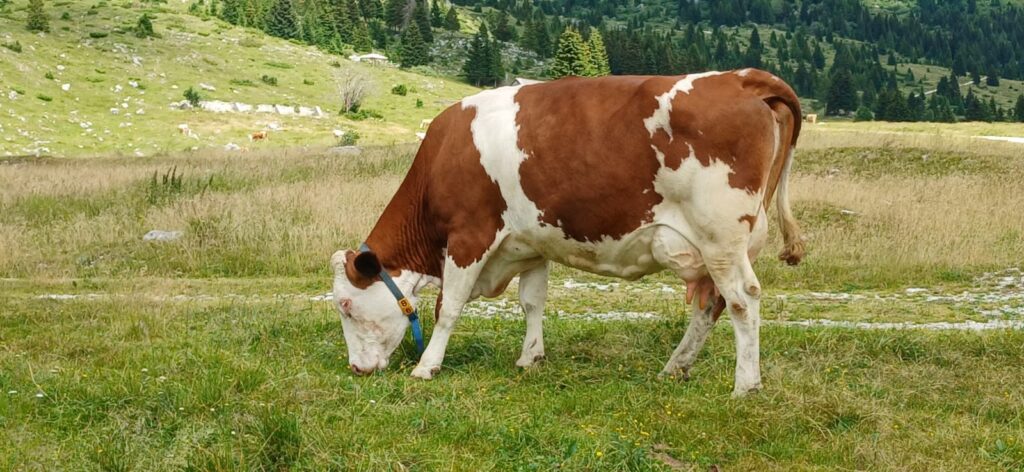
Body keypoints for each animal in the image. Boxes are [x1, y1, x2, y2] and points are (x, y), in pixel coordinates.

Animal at [331, 69, 805, 396]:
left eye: (346, 307)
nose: (355, 368)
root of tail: (740, 78)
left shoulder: (468, 235)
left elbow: (448, 306)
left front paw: (426, 366)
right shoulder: (530, 243)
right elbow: (532, 302)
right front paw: (531, 357)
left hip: (720, 238)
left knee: (743, 300)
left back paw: (745, 386)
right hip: (720, 247)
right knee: (711, 305)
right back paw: (676, 367)